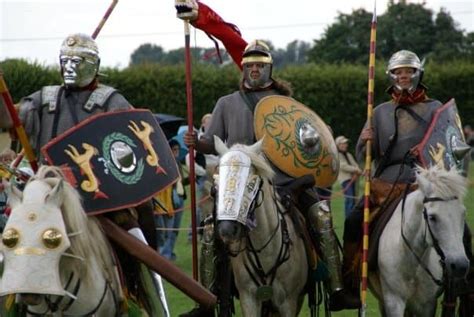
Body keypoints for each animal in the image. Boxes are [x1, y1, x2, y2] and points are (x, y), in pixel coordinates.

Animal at [214, 138, 308, 316]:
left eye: (250, 184)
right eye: (217, 183)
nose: (227, 230)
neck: (266, 251)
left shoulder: (289, 302)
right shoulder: (249, 299)